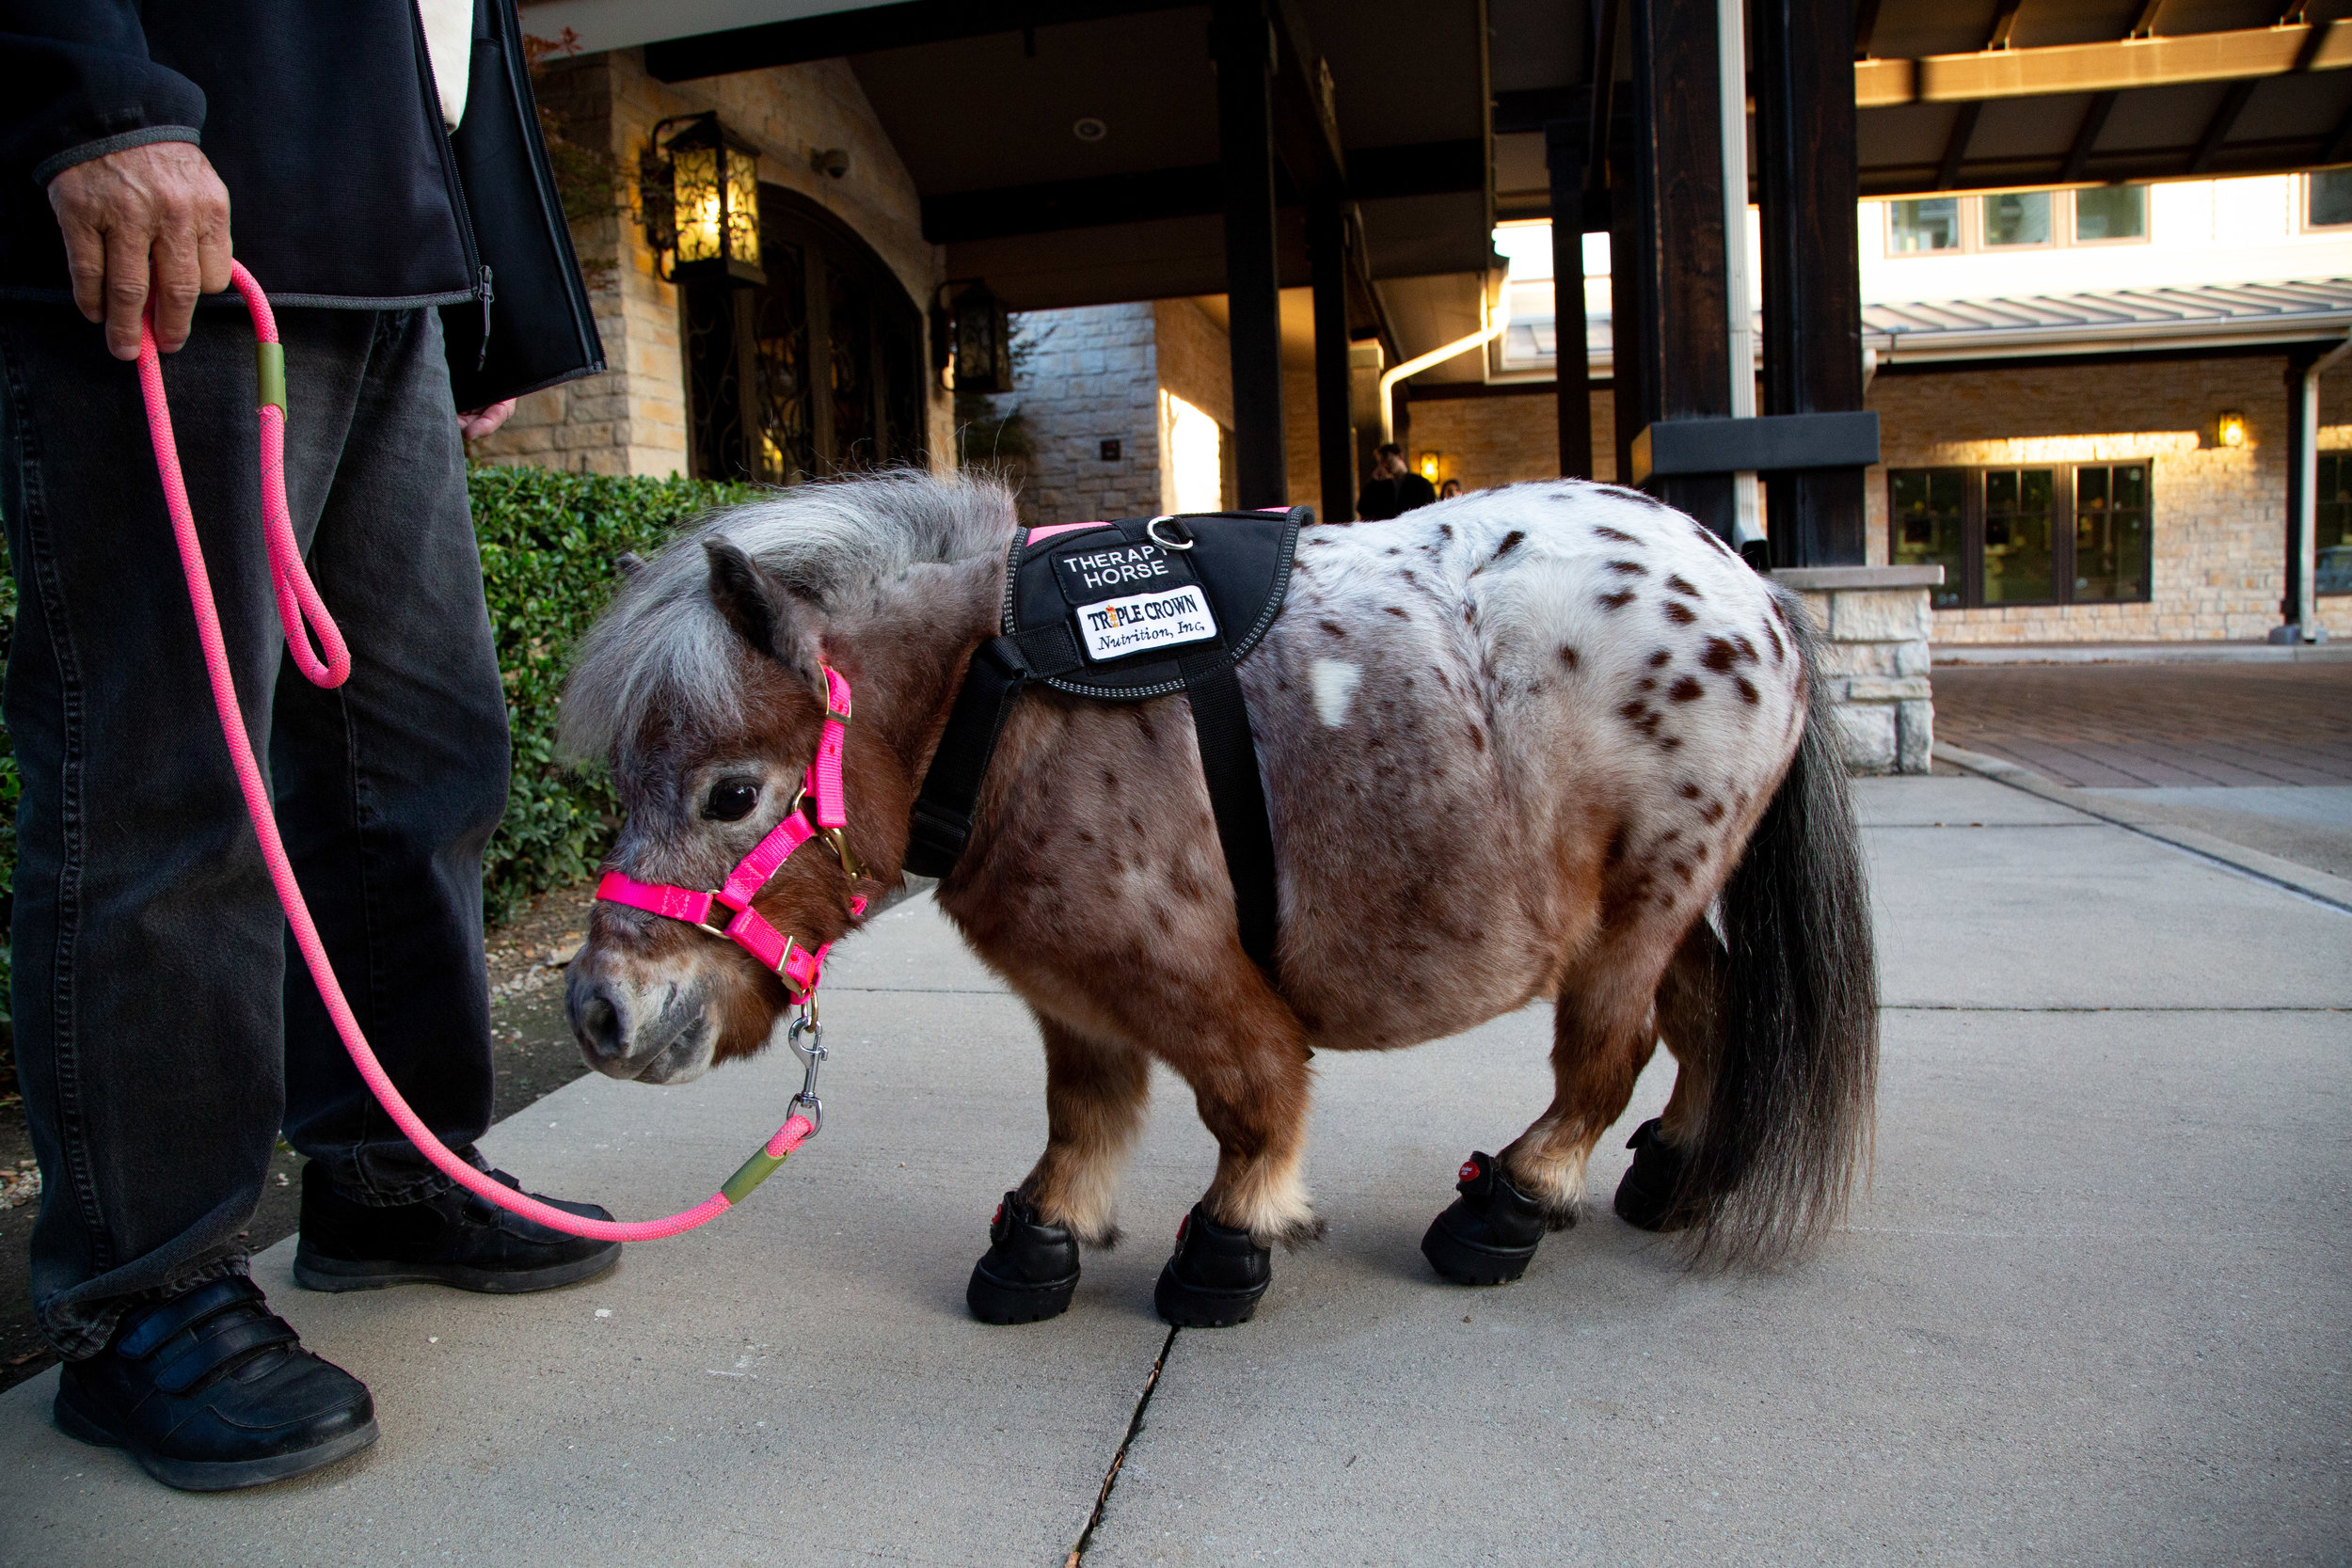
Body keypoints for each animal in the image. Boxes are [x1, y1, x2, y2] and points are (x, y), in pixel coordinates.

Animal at [560, 469, 1882, 1325]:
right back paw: (1677, 1167)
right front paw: (1041, 1240)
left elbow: (1254, 1098)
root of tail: (1753, 594)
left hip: (1639, 908)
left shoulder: (1187, 975)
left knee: (1609, 1056)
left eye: (733, 791)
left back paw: (1509, 1205)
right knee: (1710, 1011)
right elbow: (1082, 1118)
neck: (1007, 701)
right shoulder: (1072, 991)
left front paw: (1228, 1246)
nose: (599, 1012)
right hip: (1651, 905)